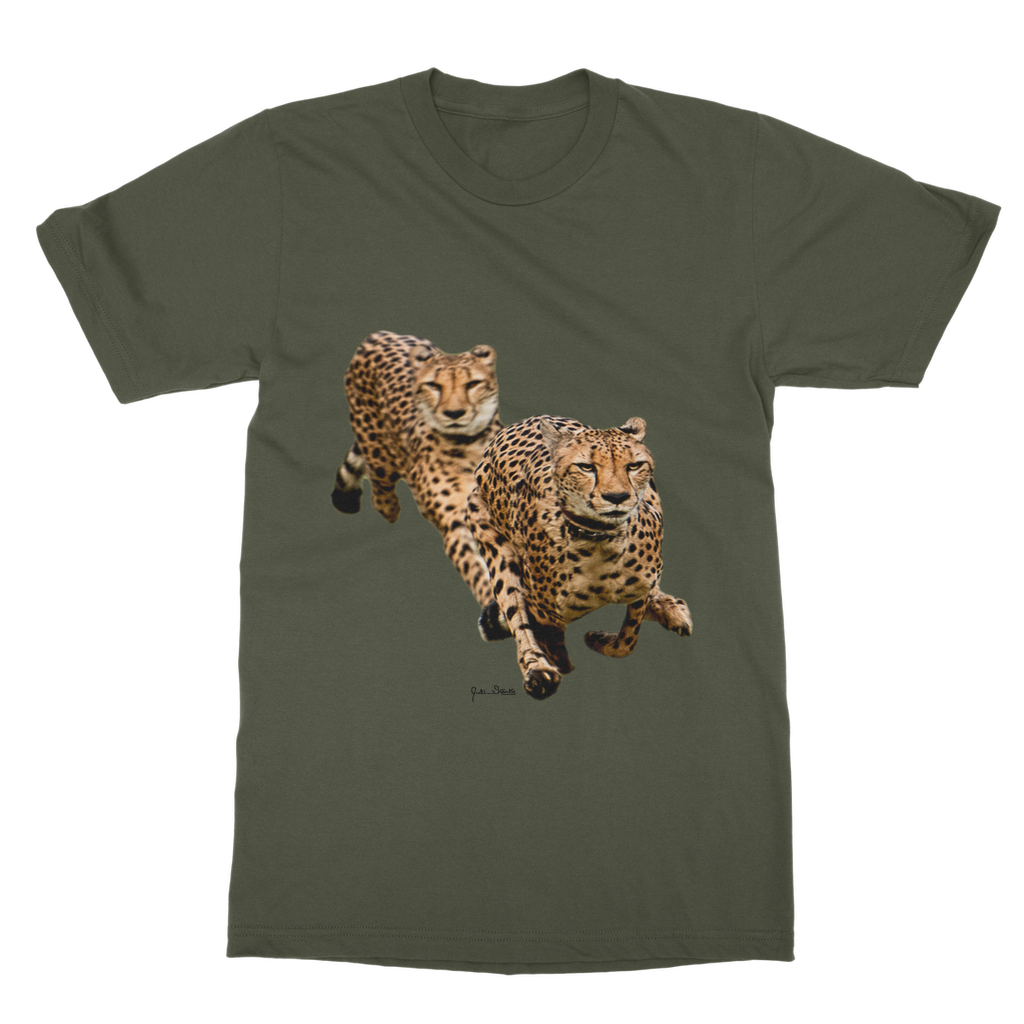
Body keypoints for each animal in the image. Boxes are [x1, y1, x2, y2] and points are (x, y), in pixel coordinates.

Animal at [332, 330, 503, 610]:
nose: (454, 413)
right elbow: (477, 569)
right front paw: (492, 605)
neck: (469, 445)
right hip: (378, 452)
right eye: (434, 386)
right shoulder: (455, 524)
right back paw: (389, 507)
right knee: (380, 488)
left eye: (472, 384)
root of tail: (379, 334)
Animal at [466, 414, 693, 700]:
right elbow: (547, 637)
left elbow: (627, 639)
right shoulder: (544, 612)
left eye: (634, 466)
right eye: (586, 467)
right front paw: (557, 662)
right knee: (515, 611)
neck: (600, 540)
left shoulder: (641, 585)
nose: (617, 497)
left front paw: (599, 639)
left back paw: (670, 608)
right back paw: (538, 670)